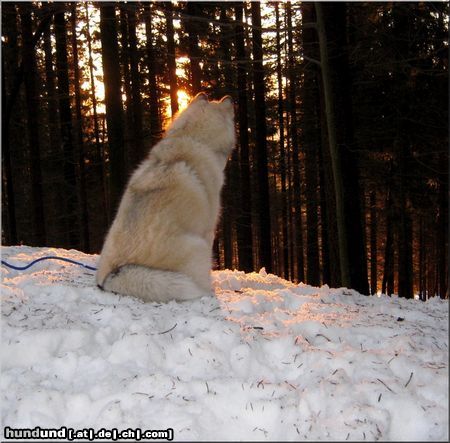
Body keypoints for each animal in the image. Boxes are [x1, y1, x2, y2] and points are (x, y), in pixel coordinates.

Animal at [96, 92, 236, 304]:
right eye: (217, 101)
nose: (229, 97)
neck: (190, 137)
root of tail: (111, 277)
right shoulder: (208, 231)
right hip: (198, 248)